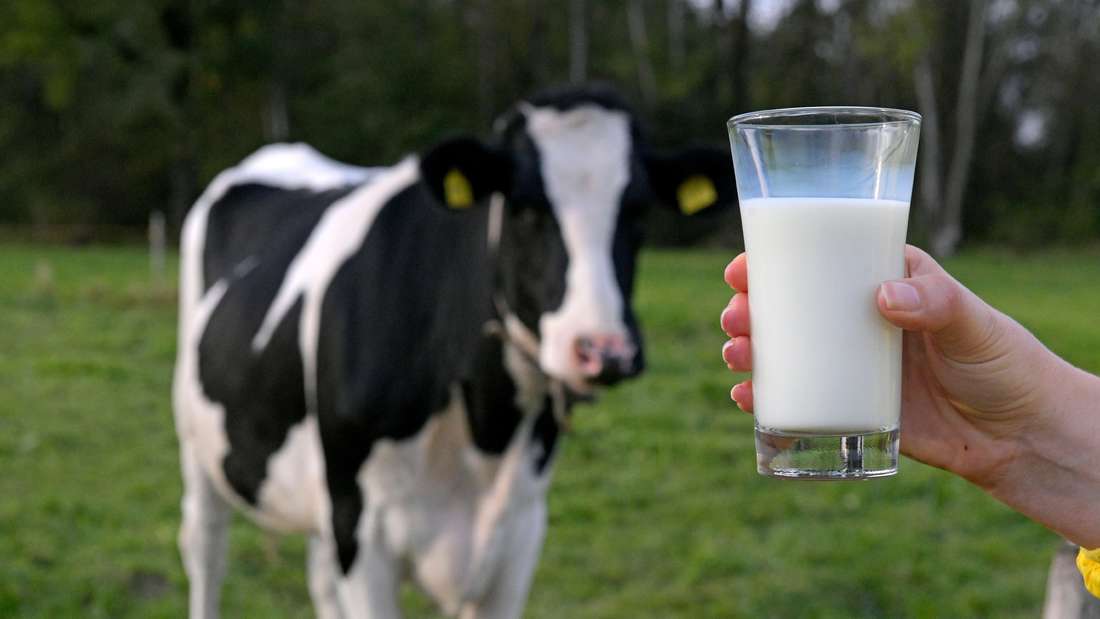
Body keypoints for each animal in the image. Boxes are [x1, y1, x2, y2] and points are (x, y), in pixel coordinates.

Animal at [173, 87, 730, 619]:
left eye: (637, 211)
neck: (483, 429)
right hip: (202, 445)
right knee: (205, 548)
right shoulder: (360, 528)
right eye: (527, 208)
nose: (603, 351)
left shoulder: (520, 533)